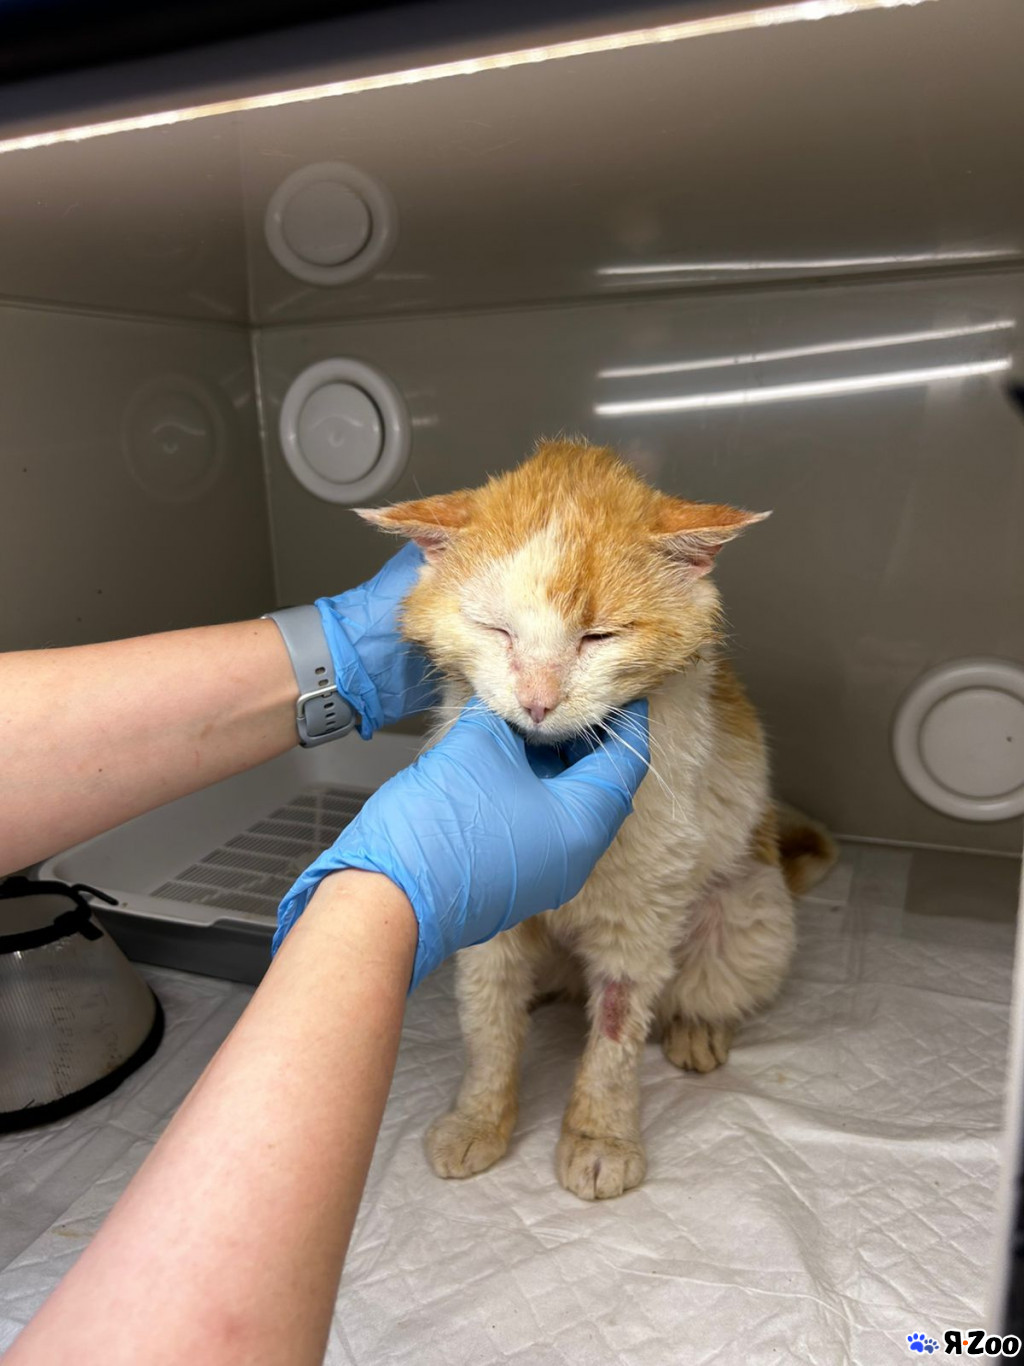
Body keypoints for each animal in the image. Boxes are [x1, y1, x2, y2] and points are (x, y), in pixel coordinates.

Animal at [359, 439, 835, 1201]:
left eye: (599, 636)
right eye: (495, 630)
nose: (537, 702)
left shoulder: (641, 921)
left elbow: (614, 1036)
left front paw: (601, 1138)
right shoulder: (486, 921)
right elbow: (487, 1026)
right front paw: (479, 1119)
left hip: (749, 909)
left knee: (701, 989)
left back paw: (697, 1031)